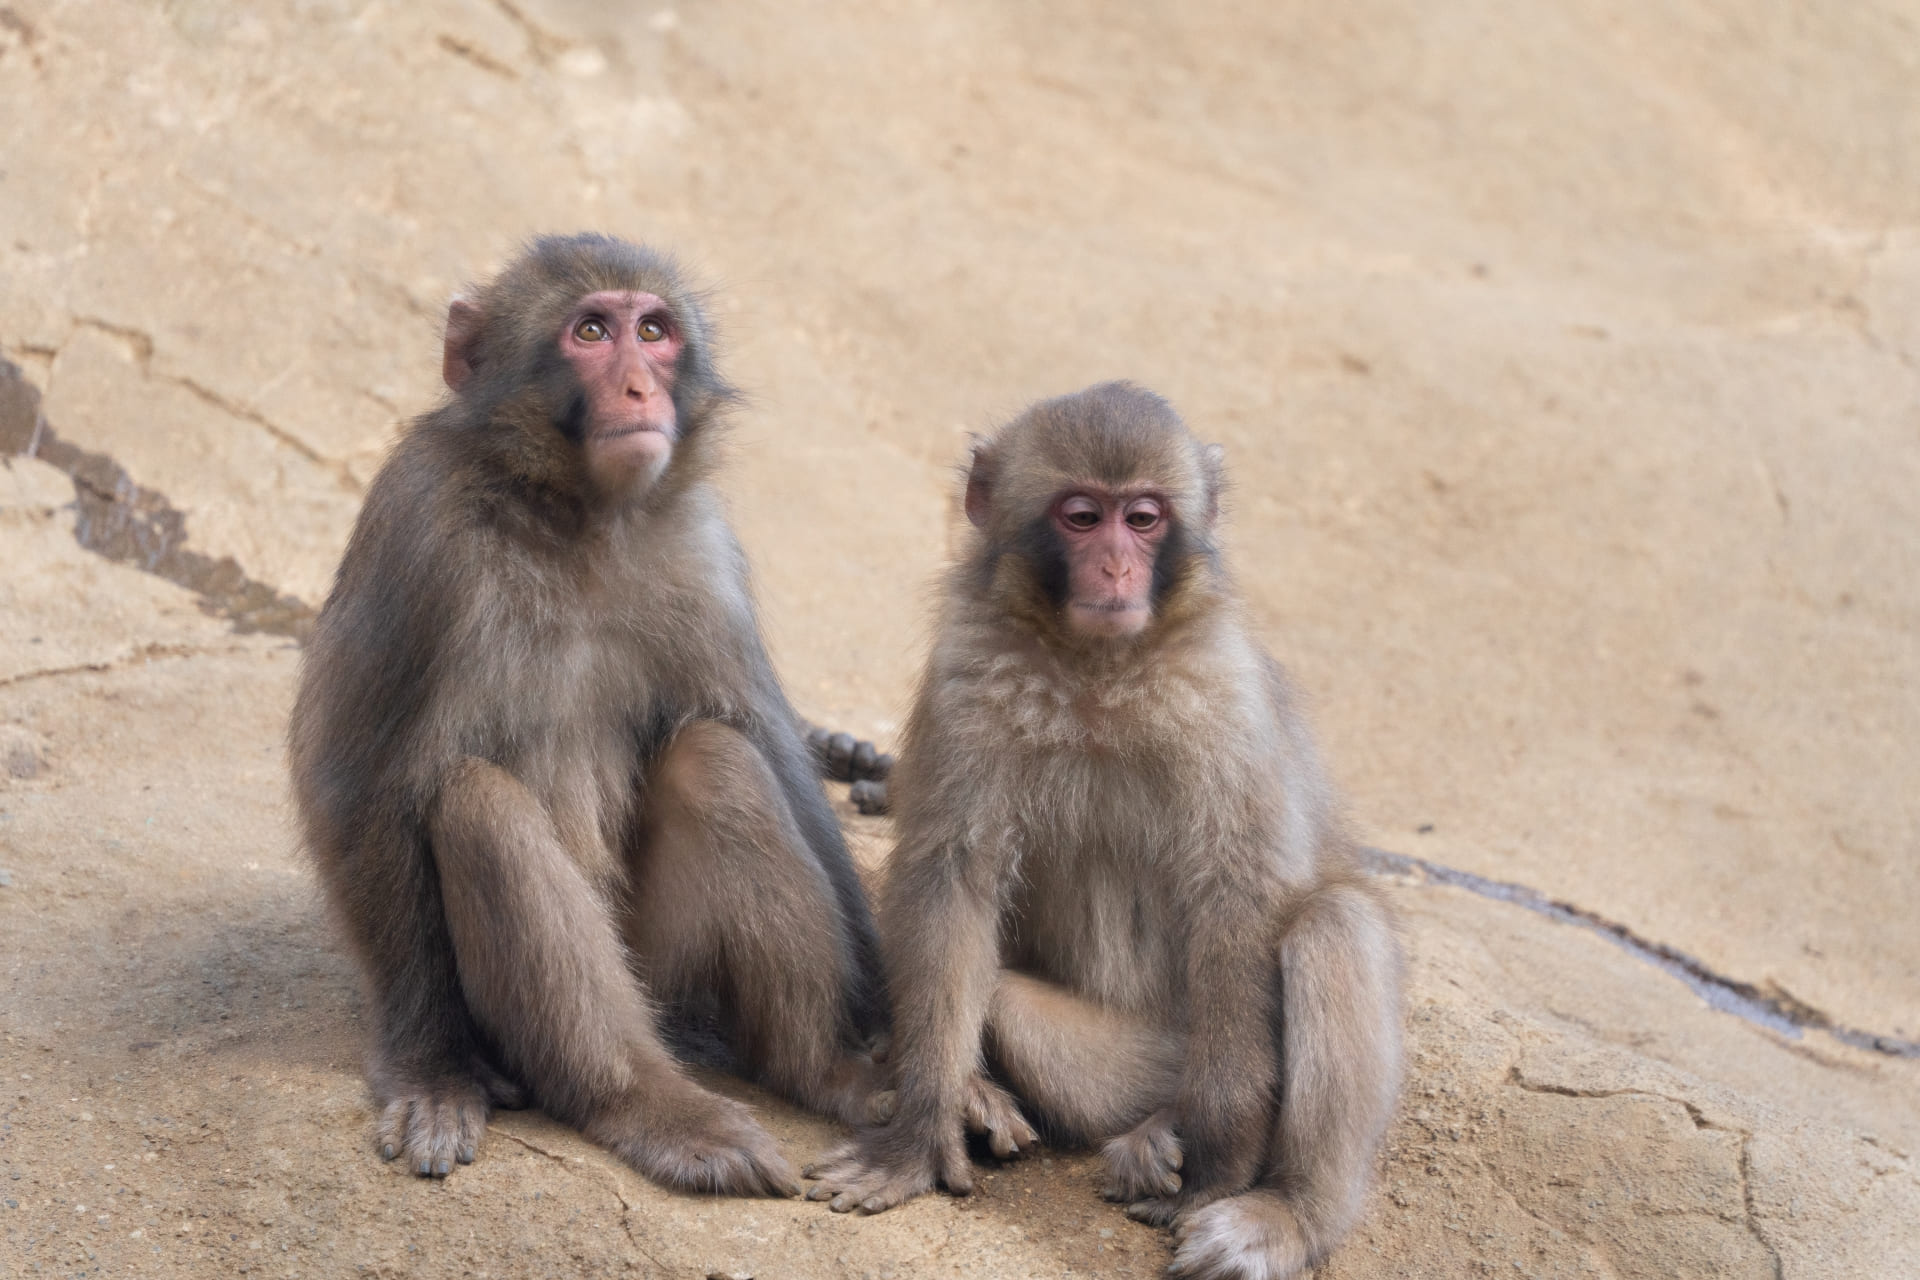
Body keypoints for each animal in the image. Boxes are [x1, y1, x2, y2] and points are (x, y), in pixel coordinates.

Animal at [288, 233, 887, 1194]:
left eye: (654, 331)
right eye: (592, 332)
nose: (640, 388)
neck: (578, 518)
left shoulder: (704, 552)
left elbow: (766, 744)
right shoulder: (419, 534)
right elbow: (356, 788)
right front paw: (430, 1069)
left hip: (668, 975)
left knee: (715, 758)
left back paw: (821, 1069)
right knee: (480, 806)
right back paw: (646, 1104)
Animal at [802, 382, 1402, 1279]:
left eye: (1144, 518)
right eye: (1083, 517)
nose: (1118, 567)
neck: (1098, 666)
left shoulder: (1223, 694)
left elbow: (1237, 895)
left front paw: (1224, 1159)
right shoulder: (964, 674)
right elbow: (953, 880)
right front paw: (920, 1129)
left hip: (1196, 1044)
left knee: (1334, 923)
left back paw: (1282, 1206)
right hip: (1132, 1068)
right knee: (1005, 999)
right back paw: (1032, 1106)